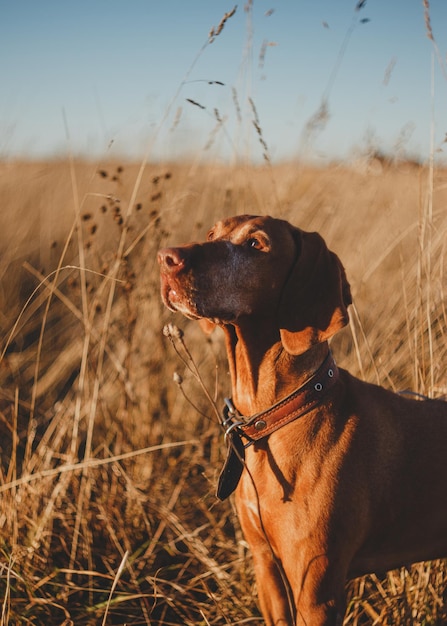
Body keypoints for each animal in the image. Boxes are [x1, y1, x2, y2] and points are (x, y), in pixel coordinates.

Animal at [158, 216, 447, 624]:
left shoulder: (317, 591)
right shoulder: (266, 566)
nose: (166, 258)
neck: (276, 417)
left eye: (256, 244)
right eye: (212, 234)